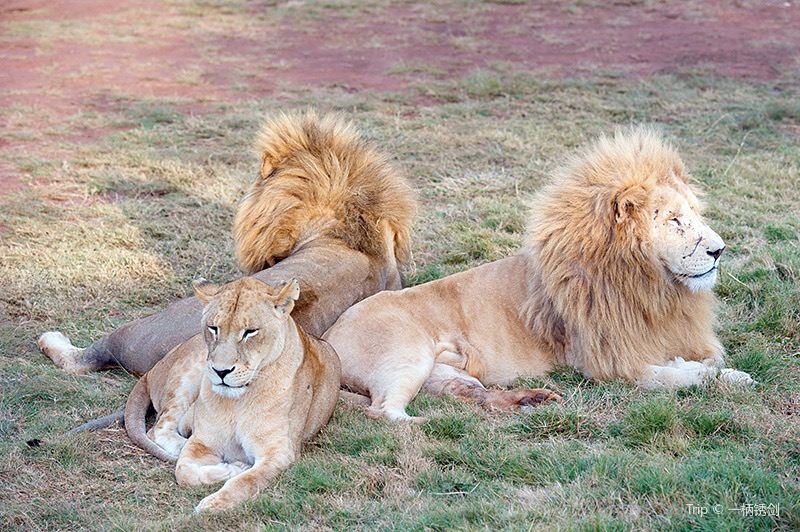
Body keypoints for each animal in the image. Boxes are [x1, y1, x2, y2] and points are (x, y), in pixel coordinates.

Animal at [126, 276, 340, 513]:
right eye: (213, 328)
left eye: (250, 332)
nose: (221, 371)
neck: (238, 402)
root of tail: (152, 369)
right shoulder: (204, 441)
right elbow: (185, 472)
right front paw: (234, 466)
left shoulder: (279, 453)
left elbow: (246, 482)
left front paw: (213, 503)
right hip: (186, 375)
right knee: (159, 429)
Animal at [323, 127, 754, 421]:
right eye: (675, 220)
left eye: (694, 214)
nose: (719, 250)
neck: (653, 287)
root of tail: (326, 335)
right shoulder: (603, 363)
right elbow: (673, 378)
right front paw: (713, 374)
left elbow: (703, 364)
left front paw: (728, 373)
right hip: (406, 356)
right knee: (382, 412)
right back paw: (427, 424)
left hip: (444, 373)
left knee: (475, 396)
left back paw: (534, 400)